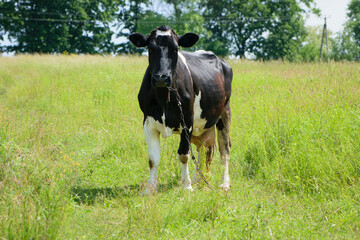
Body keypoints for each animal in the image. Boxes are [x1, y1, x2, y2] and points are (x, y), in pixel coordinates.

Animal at [129, 25, 233, 193]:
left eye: (176, 49)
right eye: (150, 48)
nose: (161, 78)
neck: (163, 97)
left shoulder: (187, 122)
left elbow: (183, 155)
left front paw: (186, 185)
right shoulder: (148, 123)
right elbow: (153, 159)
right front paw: (149, 188)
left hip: (224, 112)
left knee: (224, 149)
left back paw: (224, 182)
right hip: (202, 126)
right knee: (204, 148)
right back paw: (200, 179)